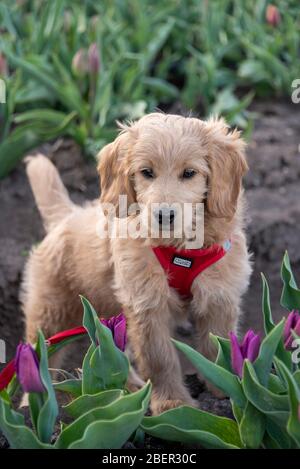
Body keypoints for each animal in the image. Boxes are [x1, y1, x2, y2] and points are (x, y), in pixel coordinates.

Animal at [21, 113, 251, 414]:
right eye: (146, 172)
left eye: (189, 173)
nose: (164, 215)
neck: (178, 248)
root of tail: (66, 217)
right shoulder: (147, 305)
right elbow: (160, 358)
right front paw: (172, 403)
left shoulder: (219, 298)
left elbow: (217, 345)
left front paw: (225, 388)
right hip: (50, 313)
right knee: (36, 358)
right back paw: (29, 406)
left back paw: (126, 388)